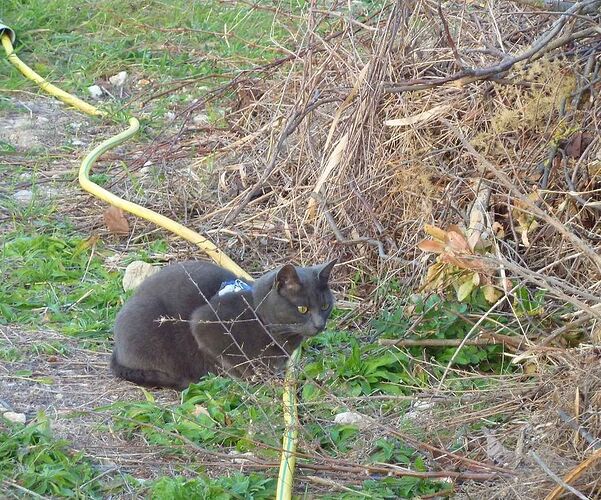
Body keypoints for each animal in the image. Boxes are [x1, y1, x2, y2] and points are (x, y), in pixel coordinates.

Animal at [110, 260, 336, 388]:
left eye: (325, 306)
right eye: (303, 309)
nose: (319, 325)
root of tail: (117, 350)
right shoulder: (205, 324)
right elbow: (232, 361)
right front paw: (252, 379)